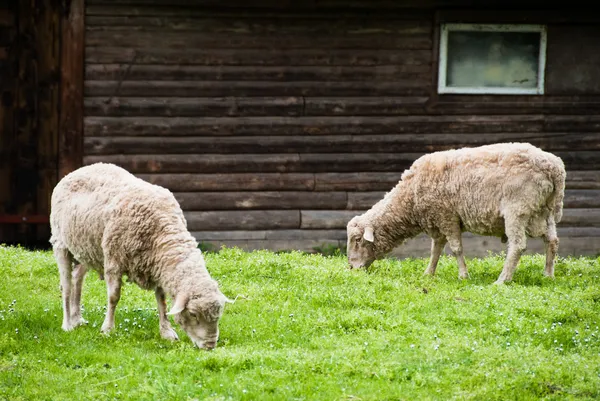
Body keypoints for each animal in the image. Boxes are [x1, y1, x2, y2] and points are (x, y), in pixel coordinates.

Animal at [49, 161, 230, 348]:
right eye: (193, 314)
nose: (210, 346)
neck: (163, 231)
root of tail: (78, 170)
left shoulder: (157, 265)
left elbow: (161, 300)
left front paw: (166, 332)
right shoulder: (114, 261)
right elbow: (113, 297)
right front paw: (108, 329)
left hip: (86, 247)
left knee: (77, 278)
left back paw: (77, 319)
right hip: (61, 243)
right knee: (66, 285)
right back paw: (67, 324)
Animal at [346, 142, 568, 282]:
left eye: (357, 240)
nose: (351, 268)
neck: (409, 197)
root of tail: (555, 167)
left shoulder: (446, 216)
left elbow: (456, 249)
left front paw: (463, 276)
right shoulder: (436, 221)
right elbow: (435, 250)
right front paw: (428, 274)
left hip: (518, 209)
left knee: (518, 245)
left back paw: (502, 280)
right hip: (543, 211)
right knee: (552, 241)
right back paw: (548, 275)